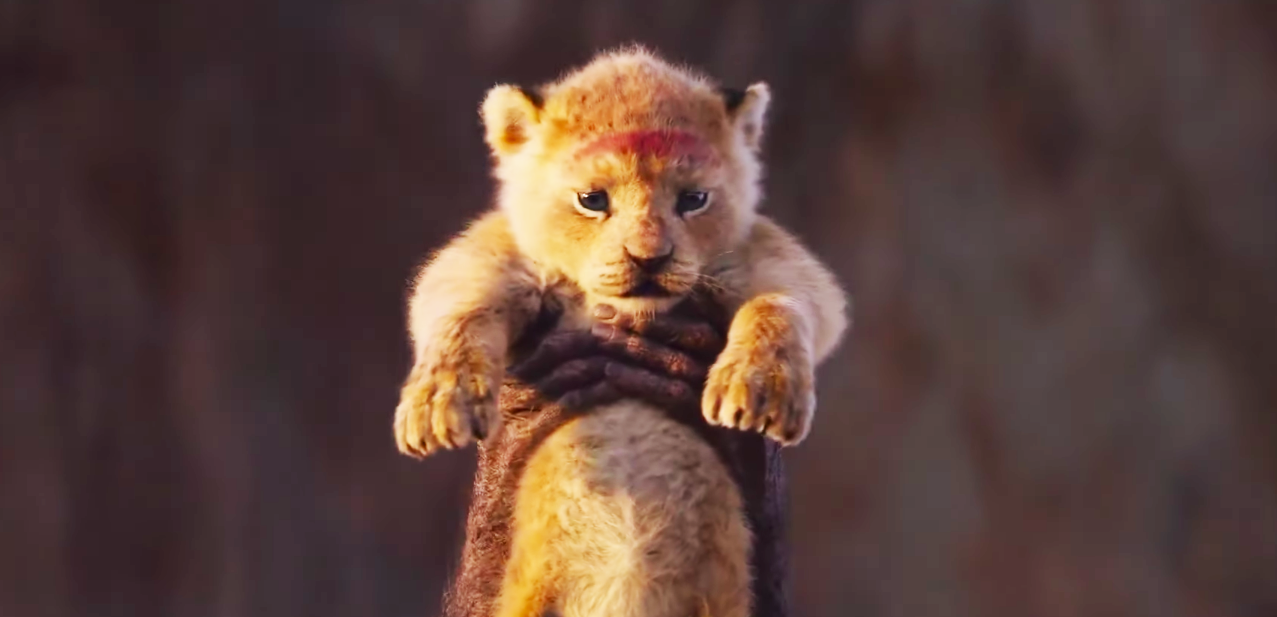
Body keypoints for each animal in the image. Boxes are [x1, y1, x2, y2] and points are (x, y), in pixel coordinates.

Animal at [393, 46, 849, 617]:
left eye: (693, 199)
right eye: (592, 199)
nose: (649, 259)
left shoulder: (773, 260)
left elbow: (780, 306)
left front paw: (760, 389)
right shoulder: (488, 254)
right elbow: (460, 311)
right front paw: (437, 404)